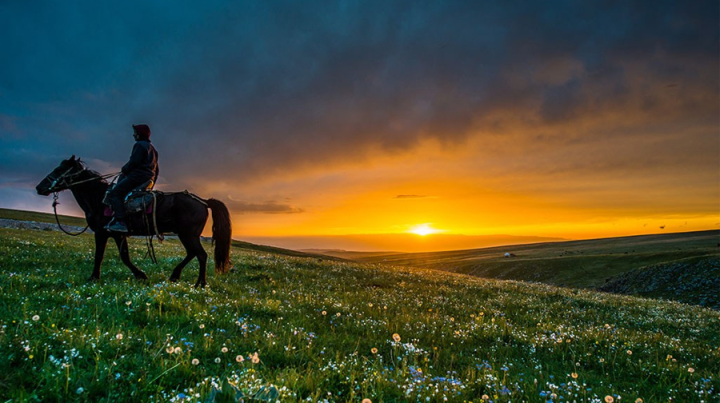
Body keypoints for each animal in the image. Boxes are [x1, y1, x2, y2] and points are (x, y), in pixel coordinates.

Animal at [35, 156, 232, 288]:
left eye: (59, 169)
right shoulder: (118, 235)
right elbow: (125, 256)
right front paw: (140, 275)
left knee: (201, 255)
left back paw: (200, 283)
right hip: (186, 235)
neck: (98, 199)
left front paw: (94, 277)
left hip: (188, 235)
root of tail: (203, 201)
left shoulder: (102, 233)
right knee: (193, 253)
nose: (39, 187)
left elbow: (101, 256)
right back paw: (175, 276)